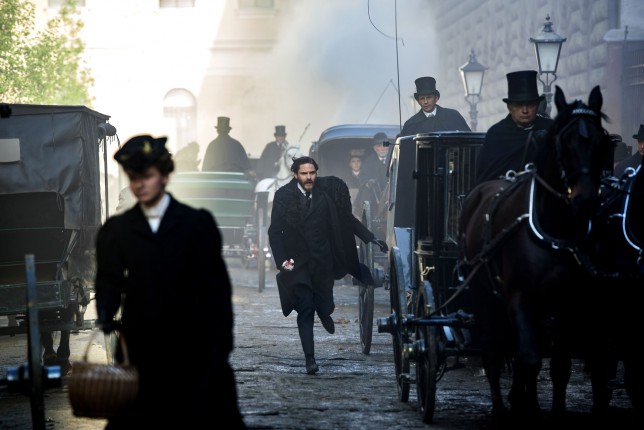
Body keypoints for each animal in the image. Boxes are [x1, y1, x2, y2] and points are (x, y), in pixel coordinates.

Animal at [458, 85, 612, 426]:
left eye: (601, 141)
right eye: (564, 142)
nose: (584, 200)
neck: (556, 229)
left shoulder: (568, 302)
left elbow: (559, 364)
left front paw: (551, 410)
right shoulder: (519, 295)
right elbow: (529, 358)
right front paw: (523, 406)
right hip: (485, 295)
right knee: (492, 348)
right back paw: (500, 407)